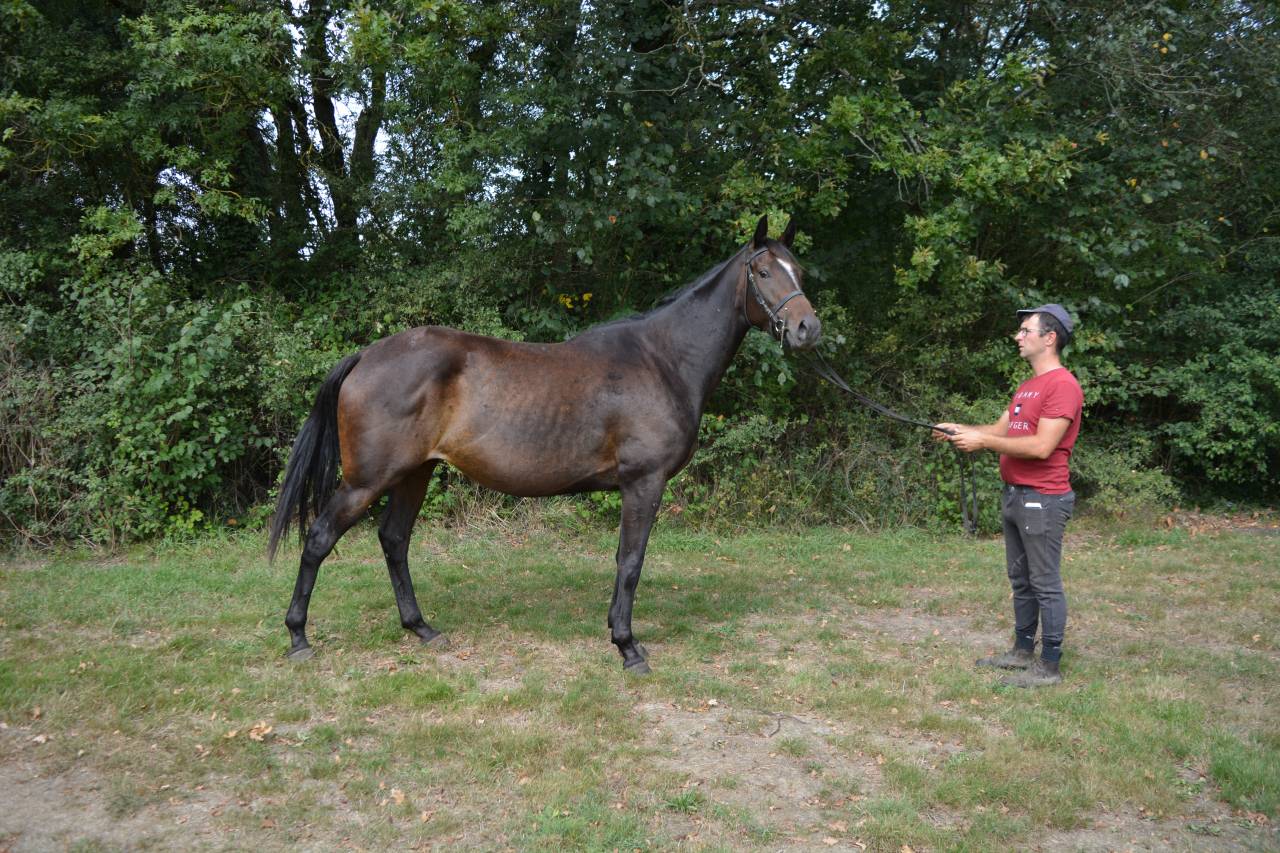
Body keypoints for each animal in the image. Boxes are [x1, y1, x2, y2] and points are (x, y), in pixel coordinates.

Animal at [267, 214, 821, 672]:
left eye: (799, 271)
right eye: (763, 272)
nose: (807, 328)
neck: (662, 360)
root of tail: (366, 356)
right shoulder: (644, 483)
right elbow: (631, 562)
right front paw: (627, 647)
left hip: (414, 473)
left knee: (394, 540)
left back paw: (421, 628)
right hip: (368, 479)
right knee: (320, 539)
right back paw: (298, 637)